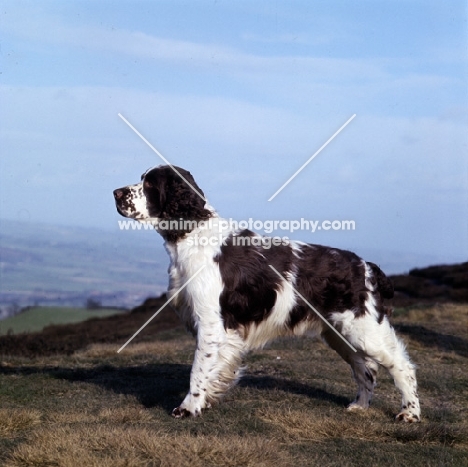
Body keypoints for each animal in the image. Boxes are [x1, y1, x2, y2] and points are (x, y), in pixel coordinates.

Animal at [114, 166, 420, 422]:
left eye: (150, 184)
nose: (116, 192)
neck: (194, 234)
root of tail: (366, 266)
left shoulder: (211, 323)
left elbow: (198, 370)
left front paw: (189, 407)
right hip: (340, 334)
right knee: (366, 370)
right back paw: (360, 406)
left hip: (365, 330)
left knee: (402, 366)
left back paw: (410, 413)